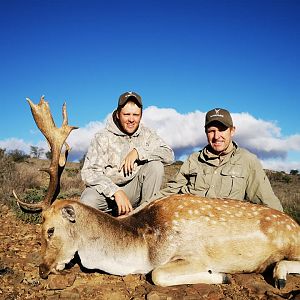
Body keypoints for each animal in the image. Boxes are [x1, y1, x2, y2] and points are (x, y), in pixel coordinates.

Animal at [14, 96, 300, 288]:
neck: (142, 246)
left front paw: (222, 275)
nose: (42, 270)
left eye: (50, 230)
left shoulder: (192, 255)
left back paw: (279, 276)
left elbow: (157, 274)